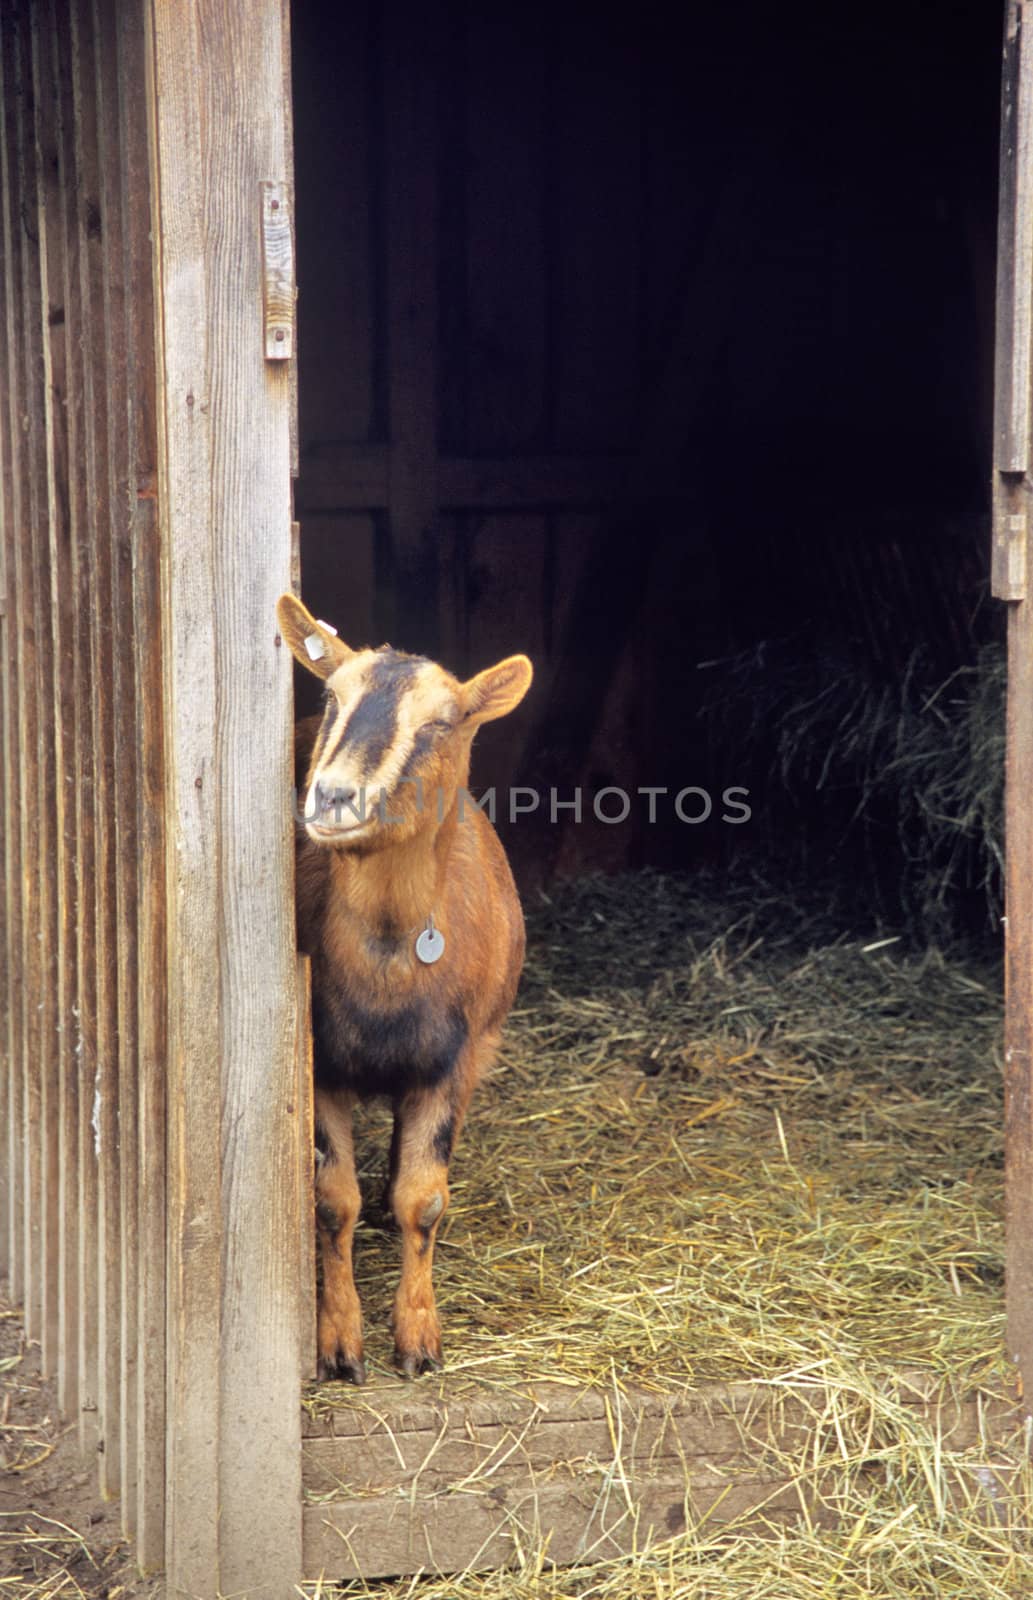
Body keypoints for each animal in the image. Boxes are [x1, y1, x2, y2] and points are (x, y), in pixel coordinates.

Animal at [275, 595, 534, 1382]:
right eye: (331, 698)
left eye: (441, 723)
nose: (333, 797)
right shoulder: (321, 1062)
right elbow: (331, 1201)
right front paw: (338, 1347)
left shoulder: (457, 1059)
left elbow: (425, 1199)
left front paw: (419, 1341)